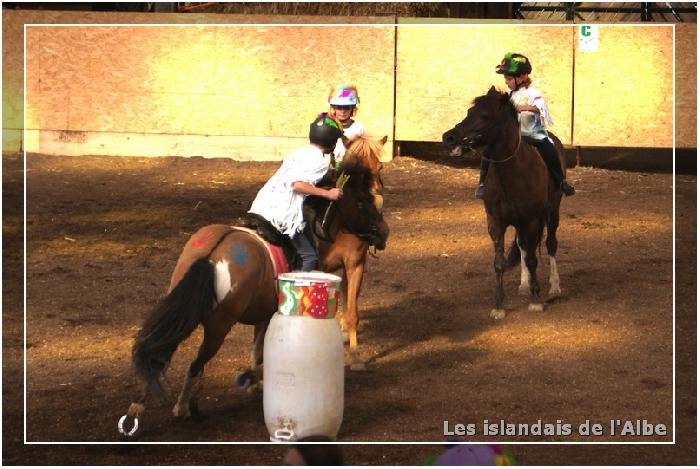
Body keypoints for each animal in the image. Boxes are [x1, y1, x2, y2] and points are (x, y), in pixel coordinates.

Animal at [446, 86, 568, 320]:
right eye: (469, 112)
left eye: (485, 116)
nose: (448, 137)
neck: (512, 173)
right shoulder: (497, 222)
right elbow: (500, 263)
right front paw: (499, 305)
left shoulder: (531, 220)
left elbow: (533, 259)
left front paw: (536, 301)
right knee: (523, 246)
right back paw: (524, 284)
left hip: (552, 211)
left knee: (550, 244)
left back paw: (555, 287)